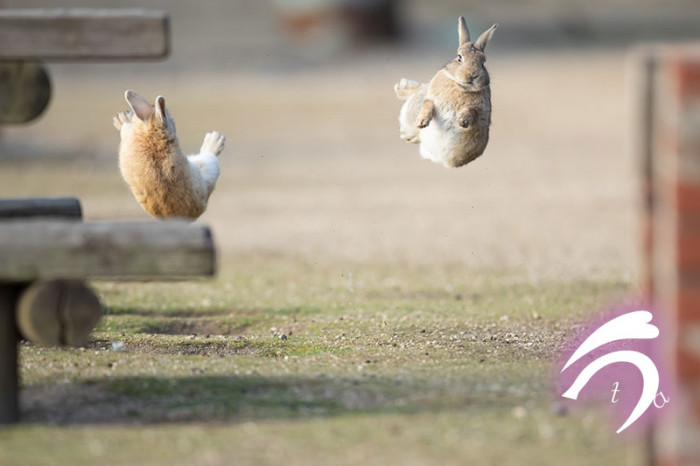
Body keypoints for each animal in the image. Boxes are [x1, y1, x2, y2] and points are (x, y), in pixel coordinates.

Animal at [394, 17, 497, 168]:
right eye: (459, 57)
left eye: (483, 62)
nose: (472, 75)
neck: (460, 86)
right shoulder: (431, 98)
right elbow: (428, 105)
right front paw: (422, 121)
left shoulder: (482, 112)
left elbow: (471, 111)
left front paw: (462, 120)